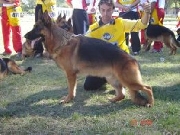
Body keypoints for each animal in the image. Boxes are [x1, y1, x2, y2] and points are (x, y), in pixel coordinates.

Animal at [24, 11, 154, 107]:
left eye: (36, 27)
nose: (25, 36)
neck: (63, 42)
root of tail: (133, 60)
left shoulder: (70, 74)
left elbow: (71, 89)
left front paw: (68, 100)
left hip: (128, 81)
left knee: (148, 88)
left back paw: (151, 103)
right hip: (112, 79)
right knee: (122, 94)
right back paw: (113, 100)